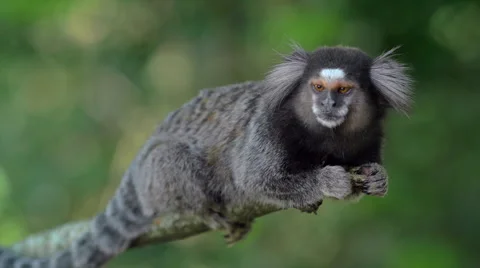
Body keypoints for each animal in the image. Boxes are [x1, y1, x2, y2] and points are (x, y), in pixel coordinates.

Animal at [0, 43, 412, 266]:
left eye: (343, 89)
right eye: (317, 87)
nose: (327, 104)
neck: (326, 135)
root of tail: (137, 164)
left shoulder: (368, 137)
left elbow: (366, 172)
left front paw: (376, 178)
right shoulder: (268, 127)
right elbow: (255, 178)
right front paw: (328, 182)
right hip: (157, 174)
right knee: (177, 163)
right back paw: (205, 211)